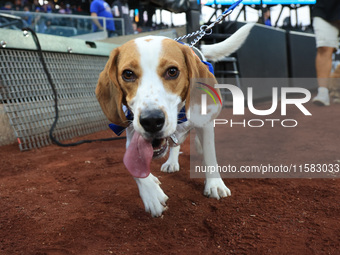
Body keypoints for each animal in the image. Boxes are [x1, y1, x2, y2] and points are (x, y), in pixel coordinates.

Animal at [95, 23, 252, 217]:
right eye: (128, 74)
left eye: (172, 71)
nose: (151, 120)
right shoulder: (132, 132)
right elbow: (134, 165)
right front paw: (151, 194)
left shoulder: (206, 124)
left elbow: (210, 155)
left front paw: (215, 184)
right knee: (175, 145)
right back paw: (171, 162)